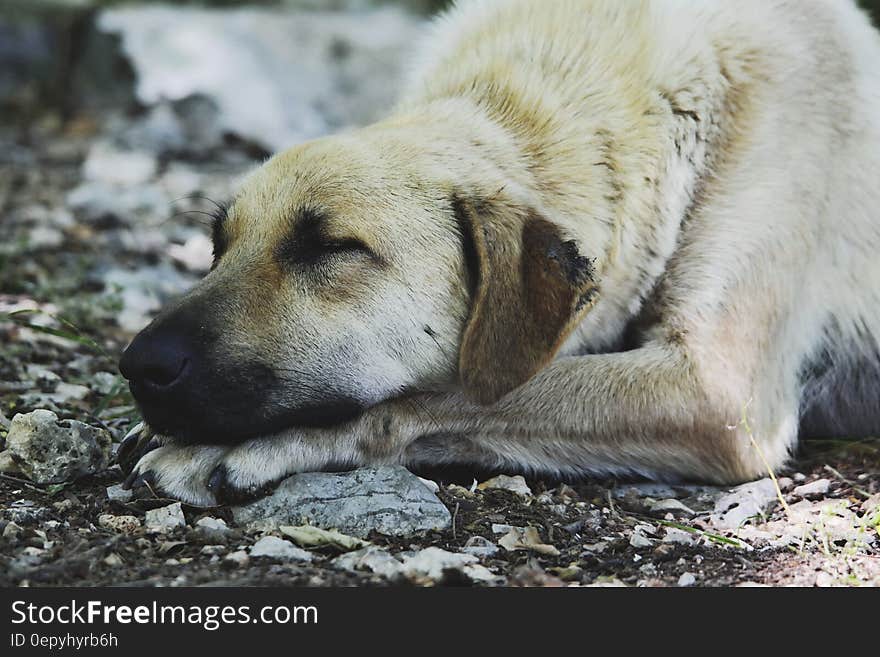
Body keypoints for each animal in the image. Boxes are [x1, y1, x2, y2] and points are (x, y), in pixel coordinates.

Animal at [117, 0, 880, 504]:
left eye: (331, 247)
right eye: (218, 245)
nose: (137, 365)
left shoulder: (717, 388)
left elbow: (443, 394)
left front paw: (243, 445)